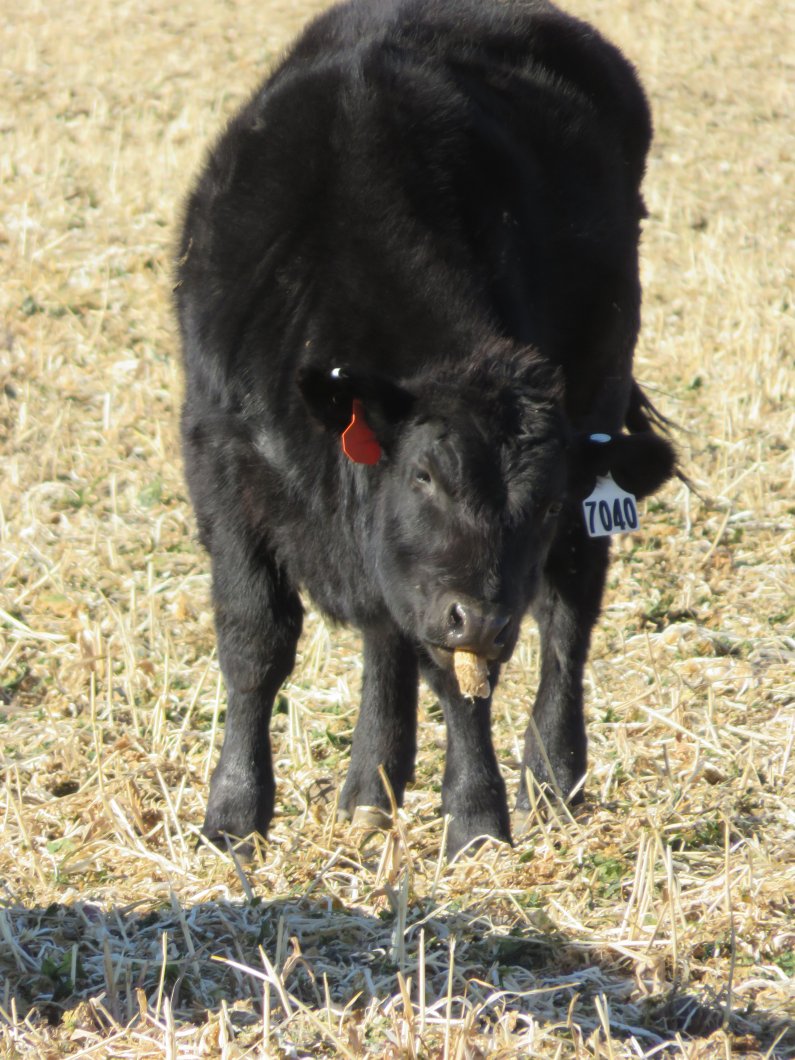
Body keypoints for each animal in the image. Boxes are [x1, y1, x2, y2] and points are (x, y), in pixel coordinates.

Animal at [173, 0, 674, 852]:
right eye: (423, 474)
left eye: (544, 501)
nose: (484, 615)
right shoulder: (219, 460)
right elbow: (254, 641)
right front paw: (233, 815)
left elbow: (459, 672)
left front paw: (475, 817)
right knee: (388, 629)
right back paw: (369, 790)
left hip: (602, 395)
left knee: (568, 608)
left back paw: (551, 775)